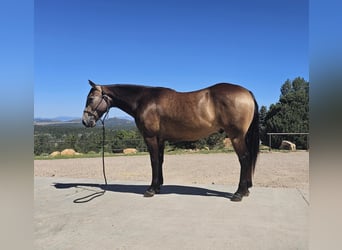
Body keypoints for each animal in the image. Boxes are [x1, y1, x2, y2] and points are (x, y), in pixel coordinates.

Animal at [83, 80, 260, 201]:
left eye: (91, 98)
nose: (85, 121)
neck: (143, 100)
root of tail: (247, 92)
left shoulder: (150, 137)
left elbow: (154, 161)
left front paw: (151, 189)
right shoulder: (160, 139)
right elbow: (160, 161)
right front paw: (158, 186)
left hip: (236, 137)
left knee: (244, 159)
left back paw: (239, 193)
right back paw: (245, 190)